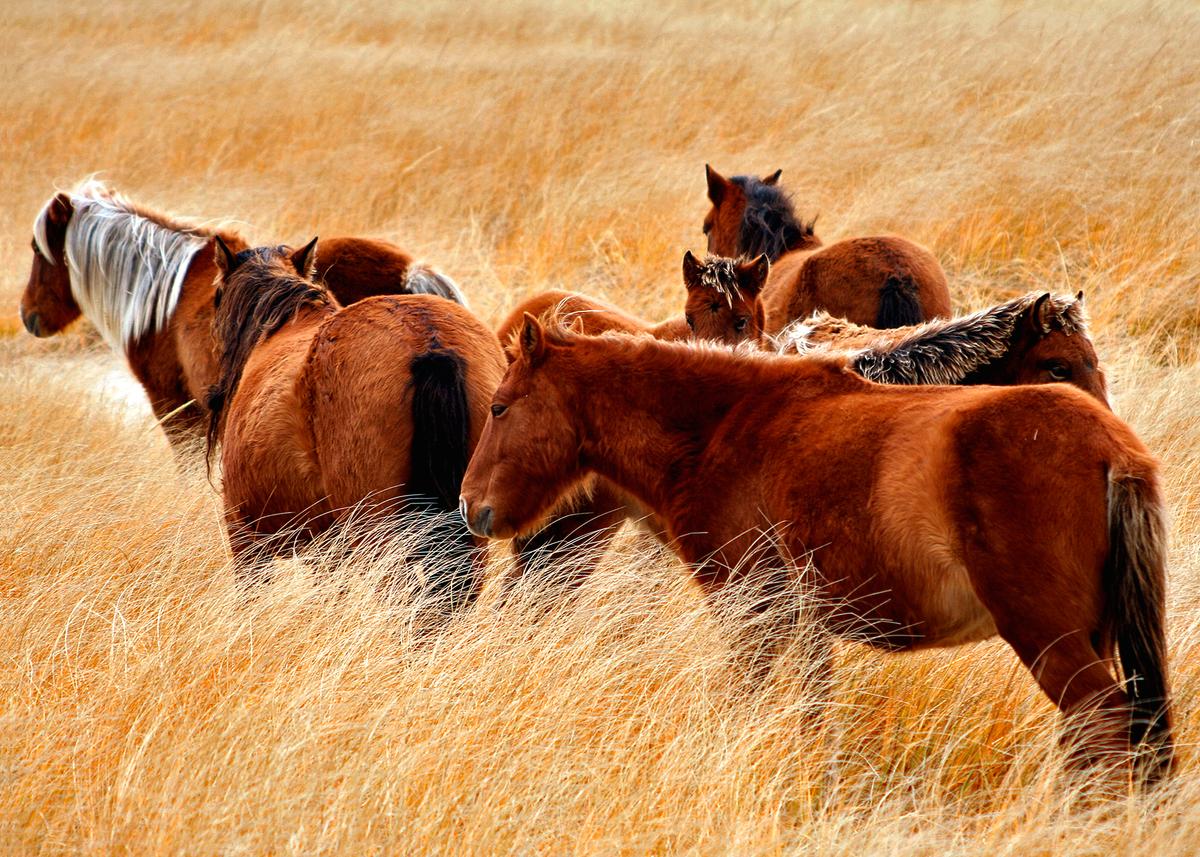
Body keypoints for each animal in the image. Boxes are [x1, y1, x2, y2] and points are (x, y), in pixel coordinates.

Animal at [459, 315, 1173, 785]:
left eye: (500, 407)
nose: (472, 507)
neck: (725, 427)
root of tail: (1113, 448)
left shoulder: (750, 614)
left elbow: (743, 702)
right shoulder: (804, 627)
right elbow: (812, 716)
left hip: (1050, 639)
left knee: (1103, 726)